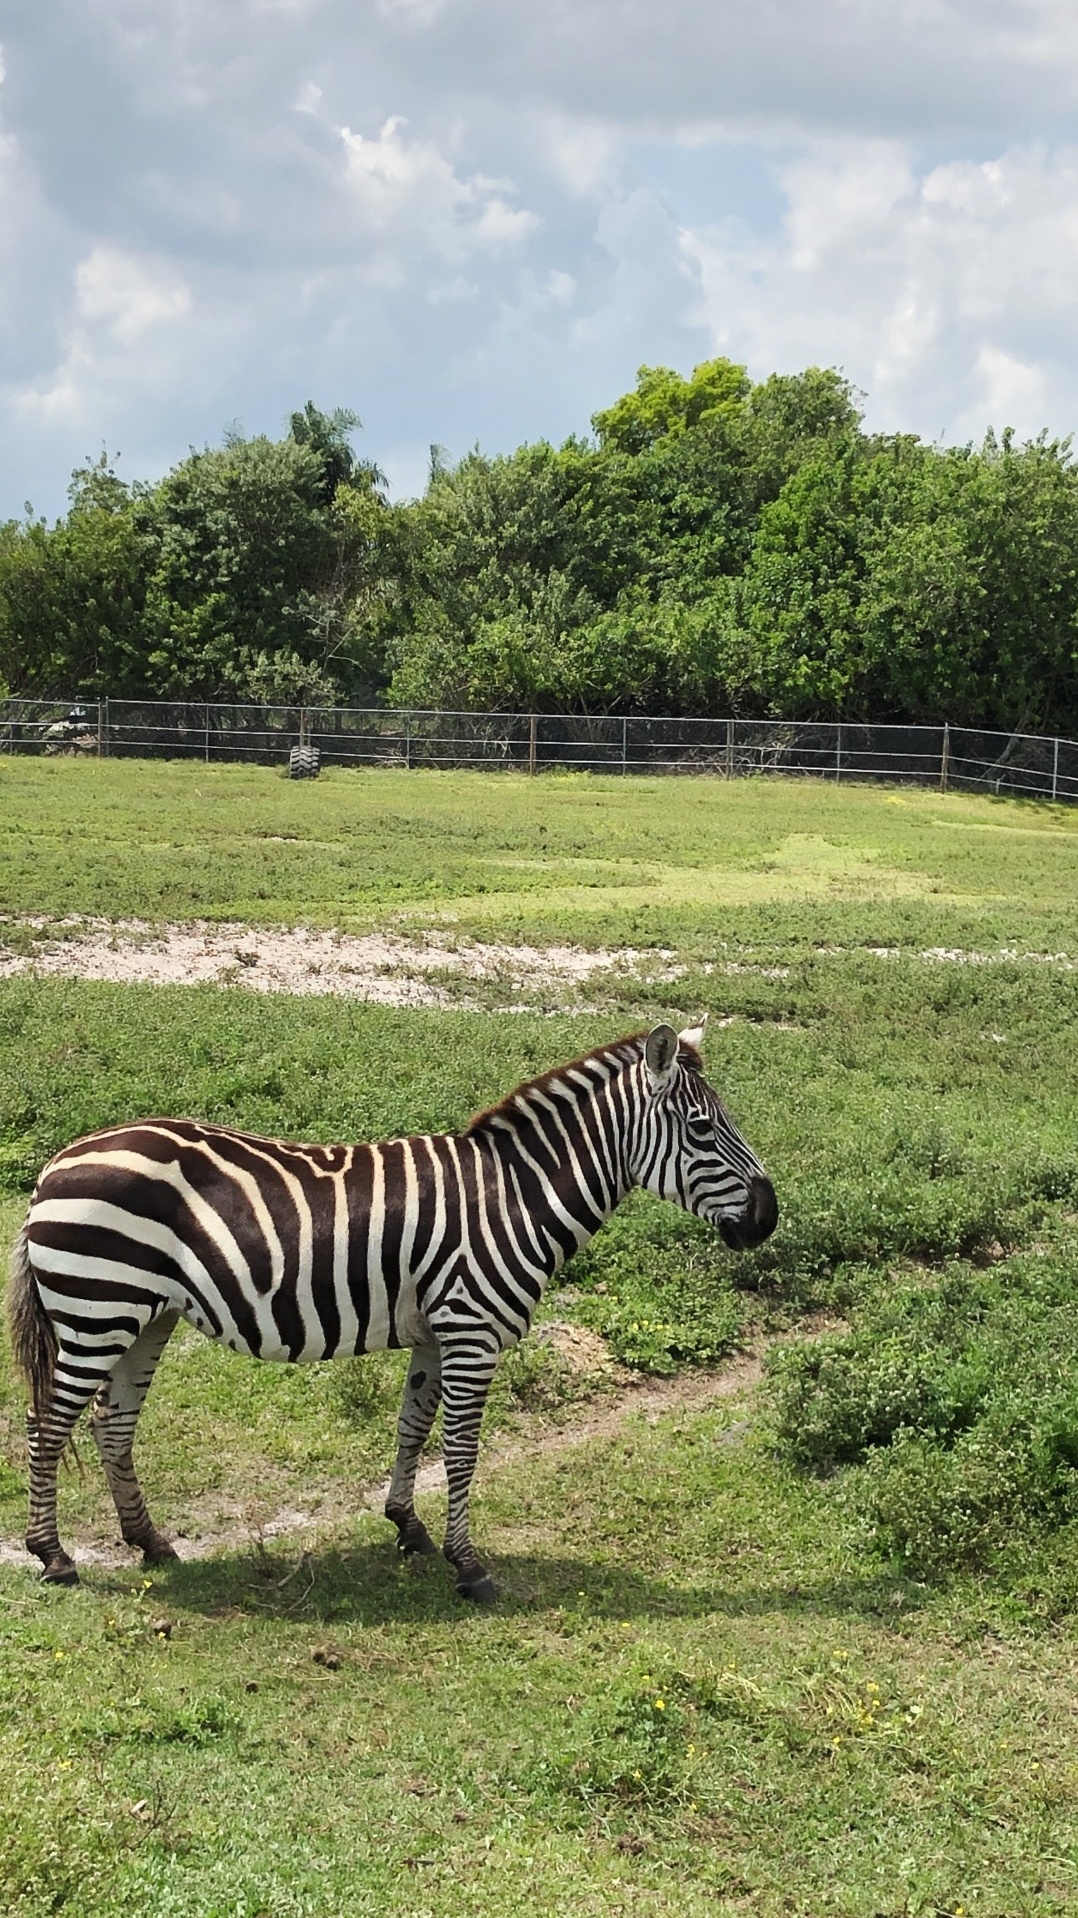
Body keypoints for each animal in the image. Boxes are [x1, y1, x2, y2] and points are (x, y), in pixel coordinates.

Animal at [8, 1020, 771, 1603]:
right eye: (703, 1129)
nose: (769, 1218)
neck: (515, 1196)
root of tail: (55, 1164)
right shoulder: (471, 1330)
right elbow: (461, 1449)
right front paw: (470, 1568)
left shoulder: (436, 1333)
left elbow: (412, 1428)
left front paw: (407, 1526)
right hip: (98, 1307)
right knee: (46, 1424)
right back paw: (53, 1556)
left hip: (146, 1314)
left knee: (112, 1423)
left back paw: (150, 1542)